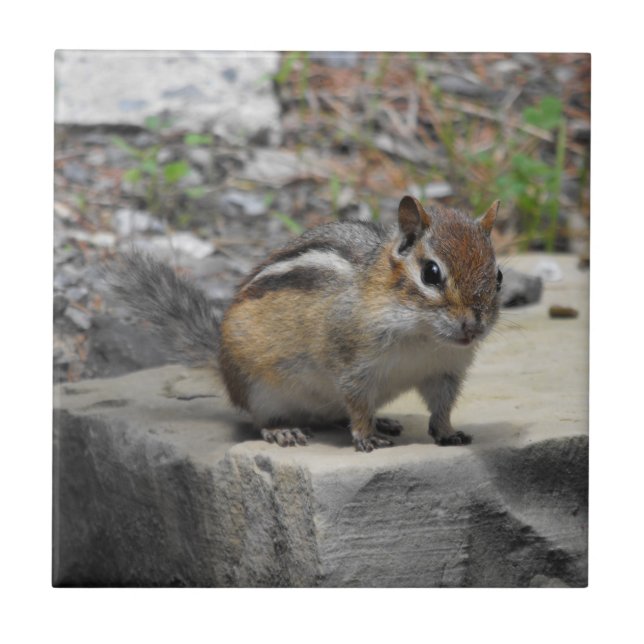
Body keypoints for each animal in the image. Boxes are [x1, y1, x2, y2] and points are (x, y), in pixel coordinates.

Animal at [109, 195, 502, 452]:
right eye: (431, 273)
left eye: (498, 275)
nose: (473, 326)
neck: (423, 334)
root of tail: (221, 364)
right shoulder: (353, 364)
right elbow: (357, 402)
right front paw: (366, 435)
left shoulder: (445, 371)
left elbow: (442, 406)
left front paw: (447, 432)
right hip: (258, 390)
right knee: (261, 419)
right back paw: (283, 432)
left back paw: (383, 419)